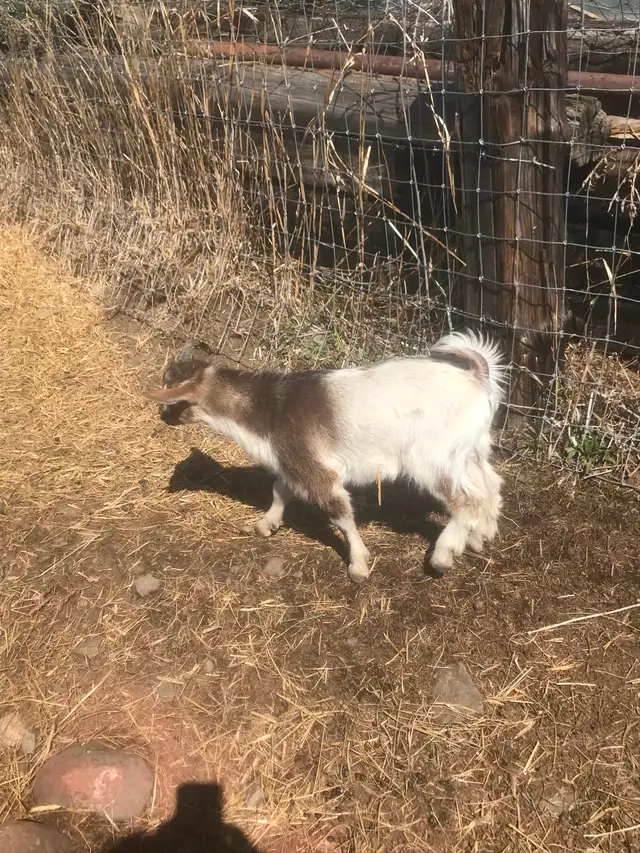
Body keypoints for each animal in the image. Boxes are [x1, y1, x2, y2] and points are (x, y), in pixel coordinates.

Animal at [146, 331, 506, 582]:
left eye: (171, 395)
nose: (161, 417)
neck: (271, 410)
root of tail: (477, 376)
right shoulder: (294, 461)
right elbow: (280, 490)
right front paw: (266, 525)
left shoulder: (315, 468)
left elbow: (339, 513)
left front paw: (358, 566)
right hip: (470, 449)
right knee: (490, 487)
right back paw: (479, 537)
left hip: (431, 456)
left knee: (467, 499)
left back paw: (443, 556)